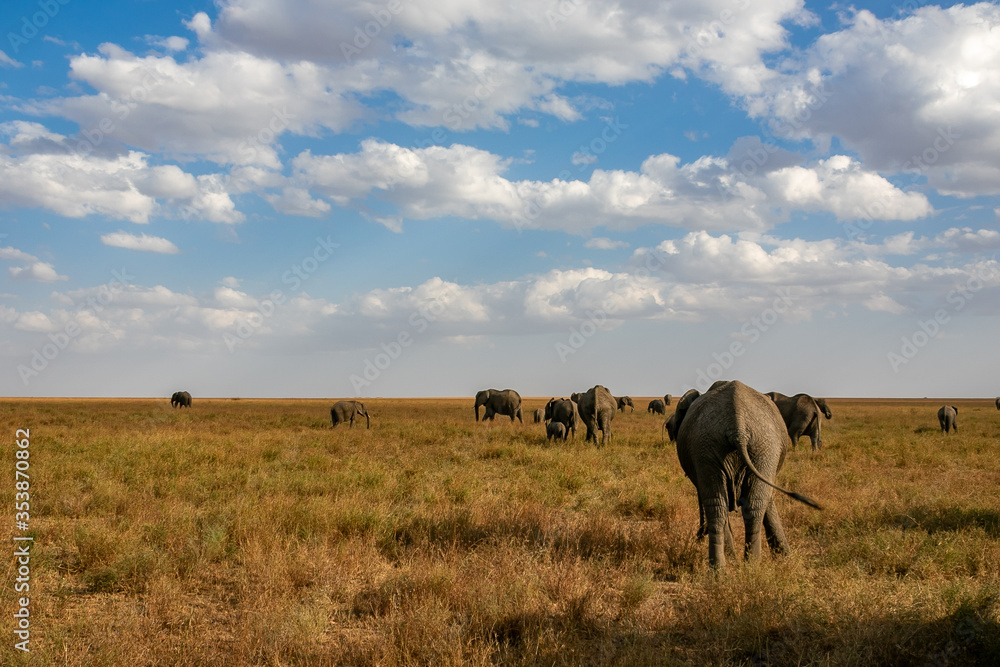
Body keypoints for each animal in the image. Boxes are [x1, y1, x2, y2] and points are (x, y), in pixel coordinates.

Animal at [668, 380, 824, 568]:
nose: (699, 535)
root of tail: (738, 427)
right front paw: (783, 556)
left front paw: (783, 556)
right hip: (726, 445)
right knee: (728, 505)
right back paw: (739, 566)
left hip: (758, 445)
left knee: (731, 505)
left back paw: (740, 566)